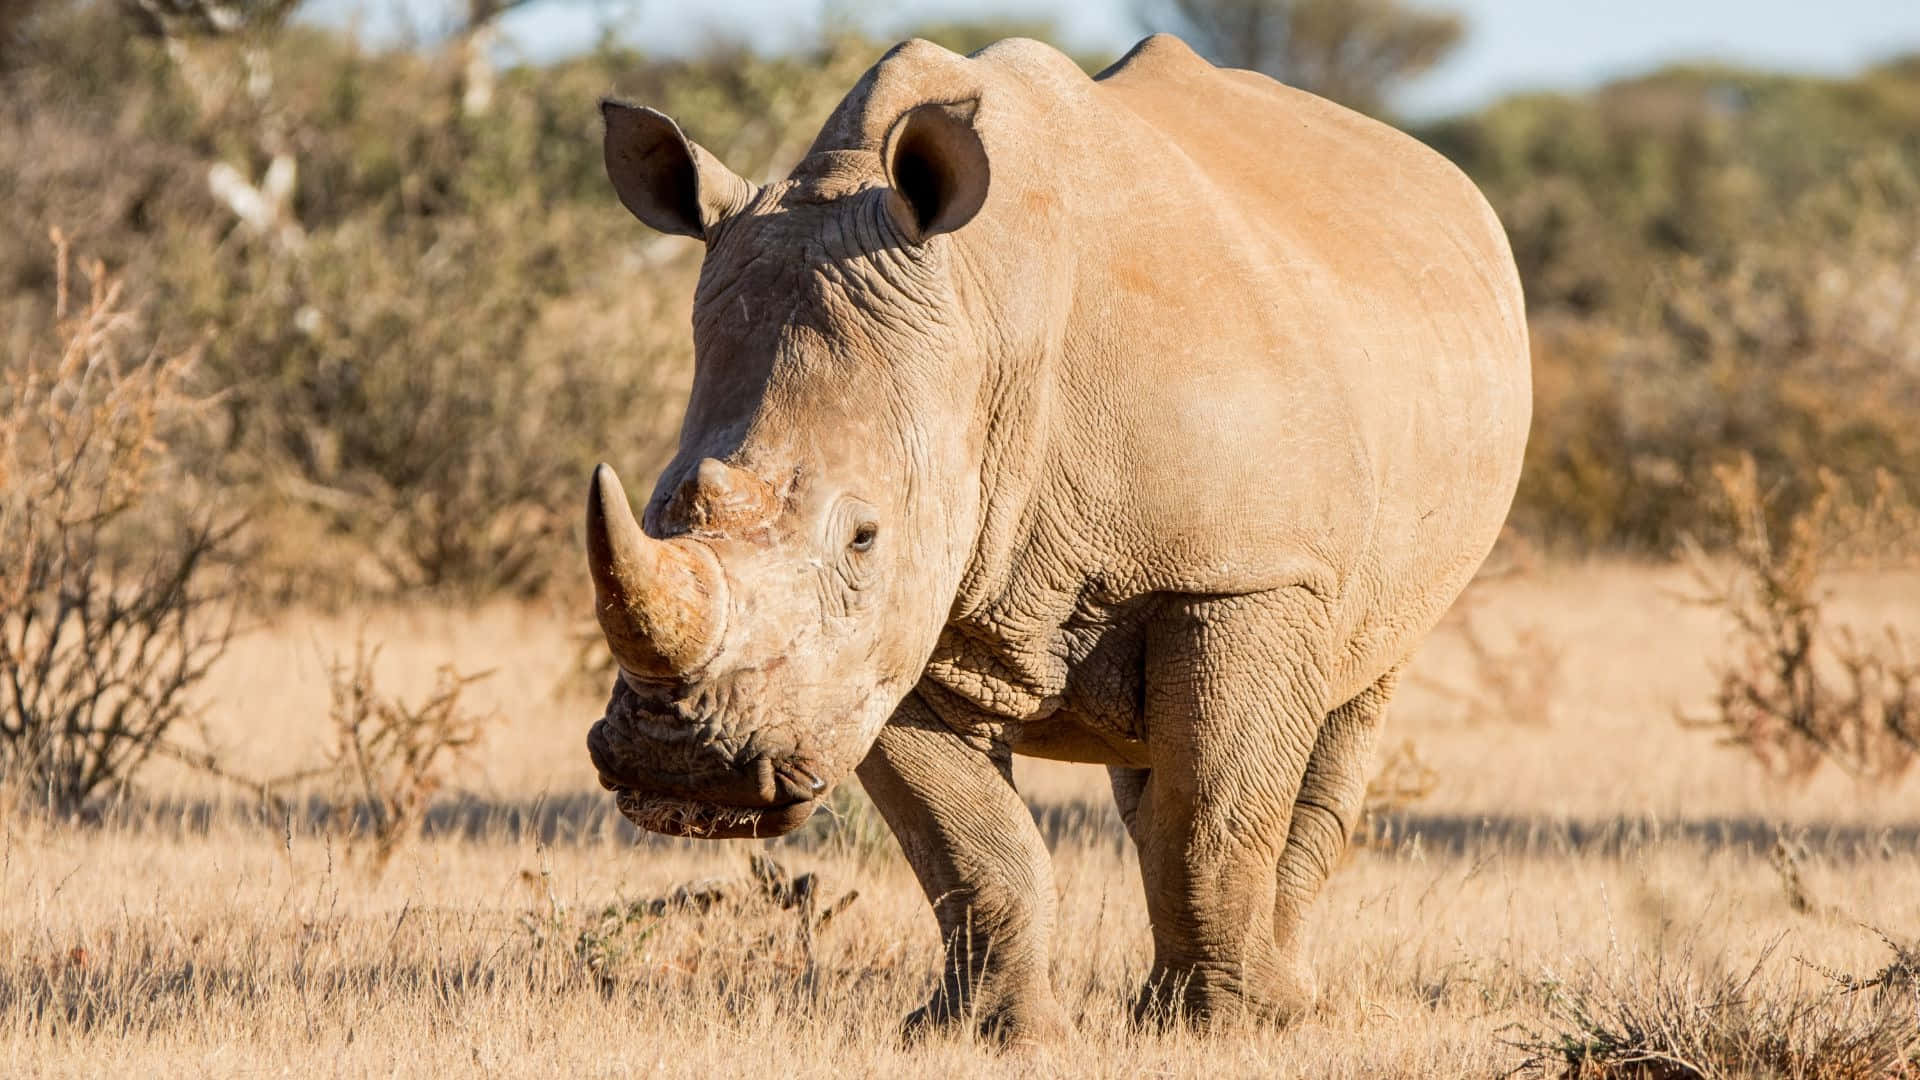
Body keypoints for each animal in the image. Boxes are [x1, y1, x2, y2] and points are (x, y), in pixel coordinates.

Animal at [584, 34, 1530, 1039]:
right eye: (662, 506)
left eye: (863, 538)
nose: (681, 770)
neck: (980, 314)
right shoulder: (886, 636)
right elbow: (970, 843)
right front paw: (986, 1033)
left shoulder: (1245, 575)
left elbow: (1214, 817)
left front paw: (1222, 1031)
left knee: (1348, 701)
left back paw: (1278, 1002)